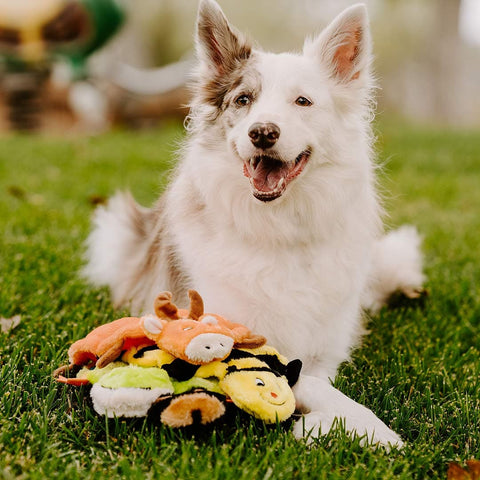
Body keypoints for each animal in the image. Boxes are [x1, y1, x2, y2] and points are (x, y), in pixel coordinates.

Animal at [83, 0, 424, 448]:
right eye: (243, 99)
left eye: (303, 101)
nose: (262, 132)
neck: (279, 226)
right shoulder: (238, 337)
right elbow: (303, 381)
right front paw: (368, 430)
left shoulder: (323, 348)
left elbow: (318, 381)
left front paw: (341, 426)